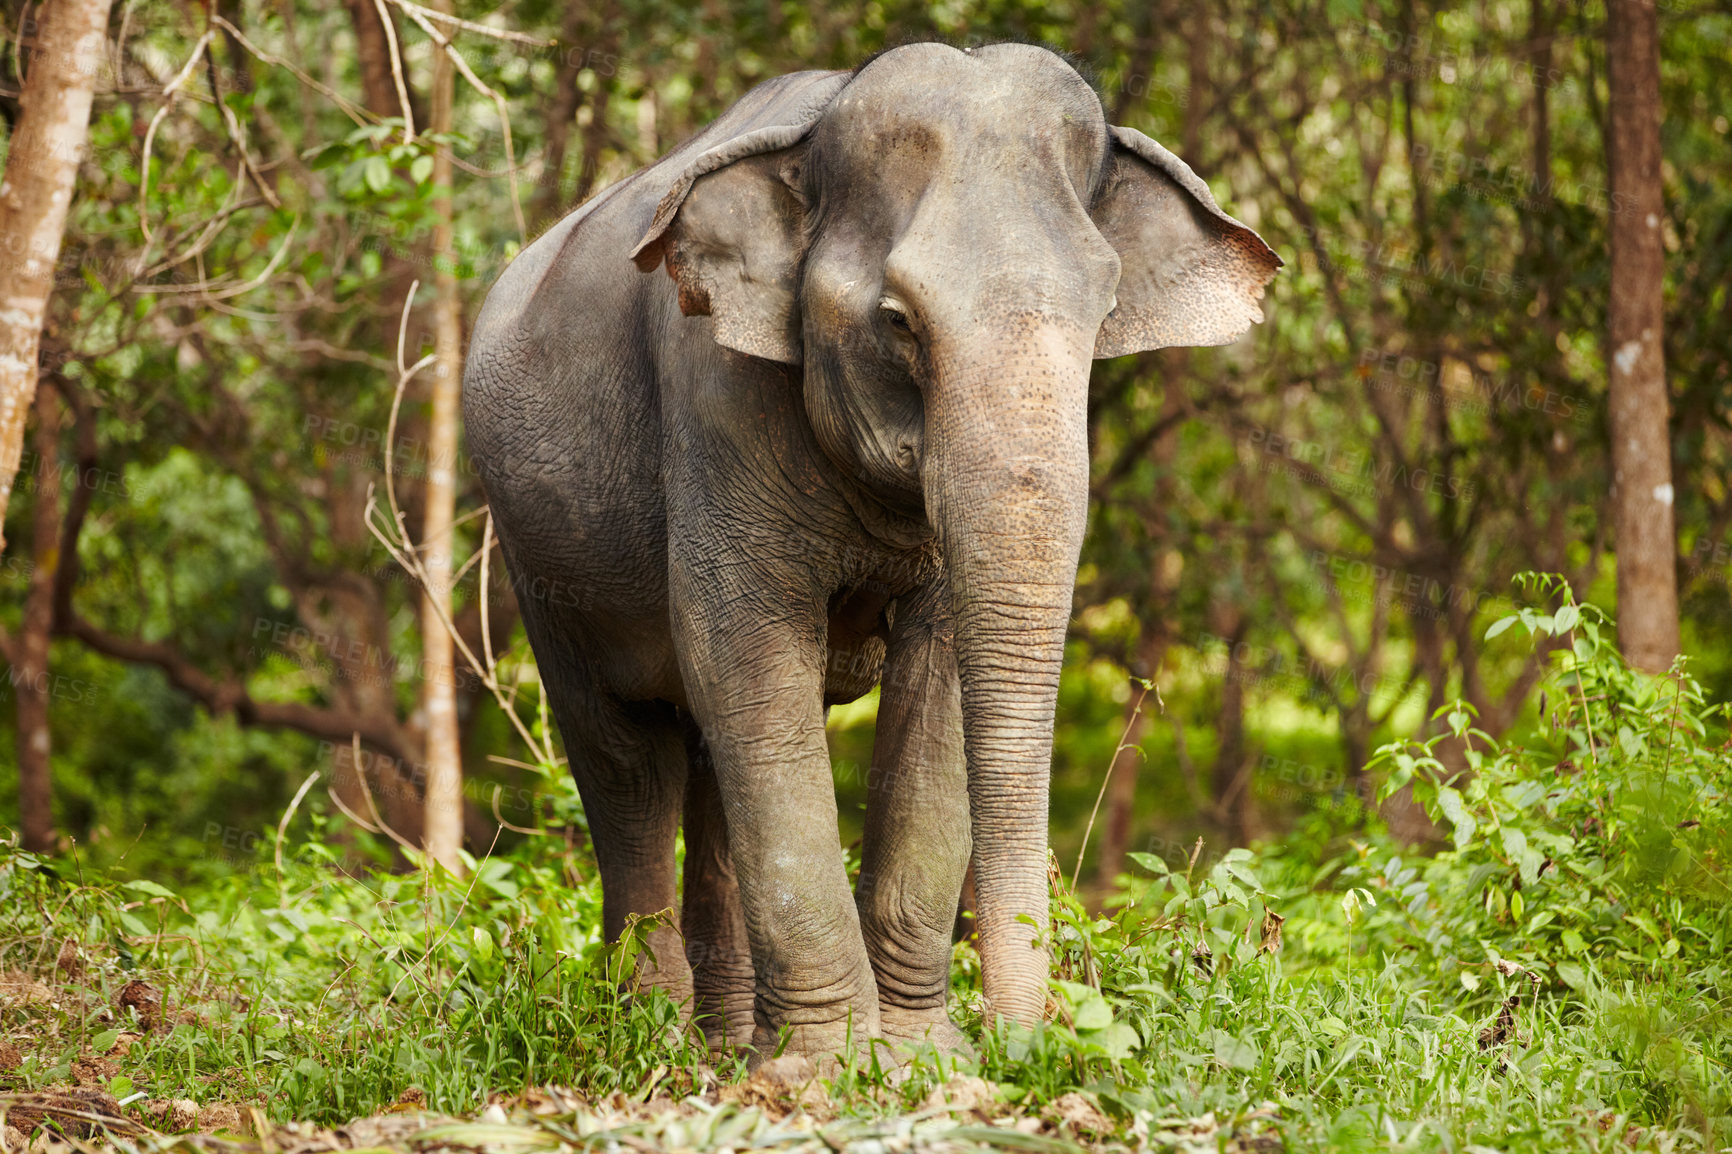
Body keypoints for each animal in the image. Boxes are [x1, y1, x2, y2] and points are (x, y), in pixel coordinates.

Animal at [467, 40, 1281, 1067]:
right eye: (897, 319)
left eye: (1105, 315)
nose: (1030, 1048)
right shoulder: (715, 397)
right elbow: (745, 654)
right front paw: (836, 1069)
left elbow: (936, 687)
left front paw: (922, 1057)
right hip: (539, 562)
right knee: (628, 759)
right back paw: (655, 1044)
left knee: (710, 764)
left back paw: (730, 1048)